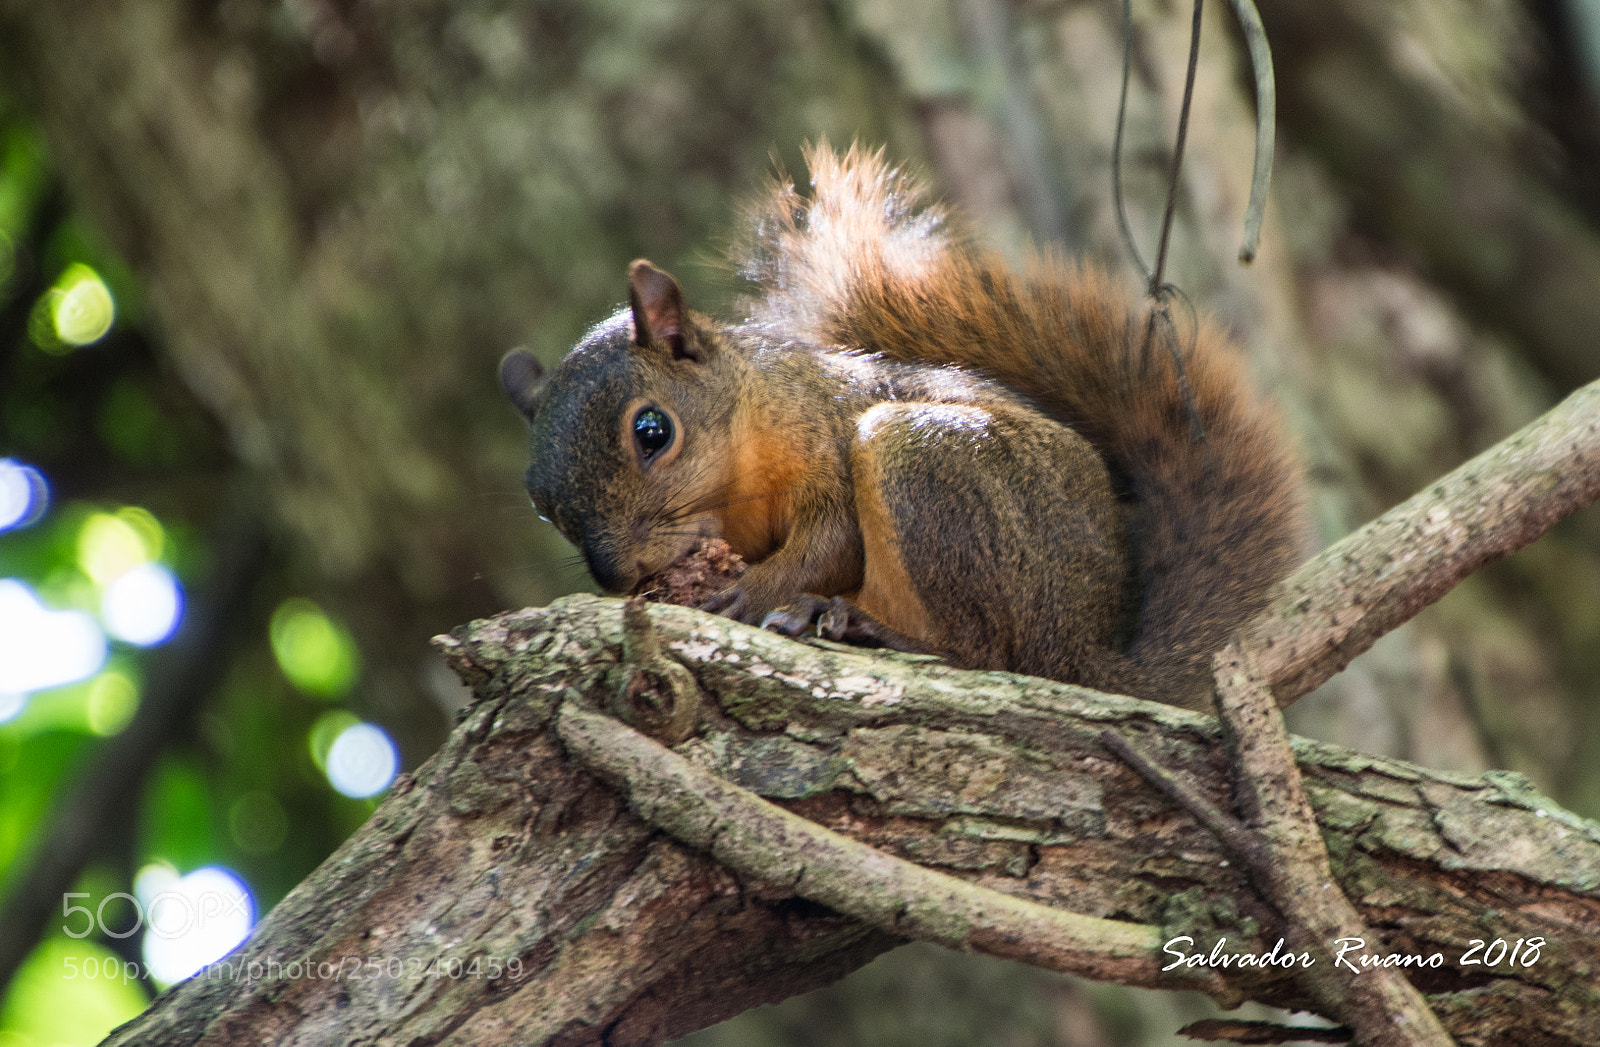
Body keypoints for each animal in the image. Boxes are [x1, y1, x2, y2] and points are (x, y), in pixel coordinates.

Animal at [499, 144, 1305, 709]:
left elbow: (832, 539)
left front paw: (746, 594)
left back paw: (868, 628)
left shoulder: (821, 432)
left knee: (990, 654)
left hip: (922, 456)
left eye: (653, 432)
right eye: (538, 503)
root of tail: (1083, 646)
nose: (616, 575)